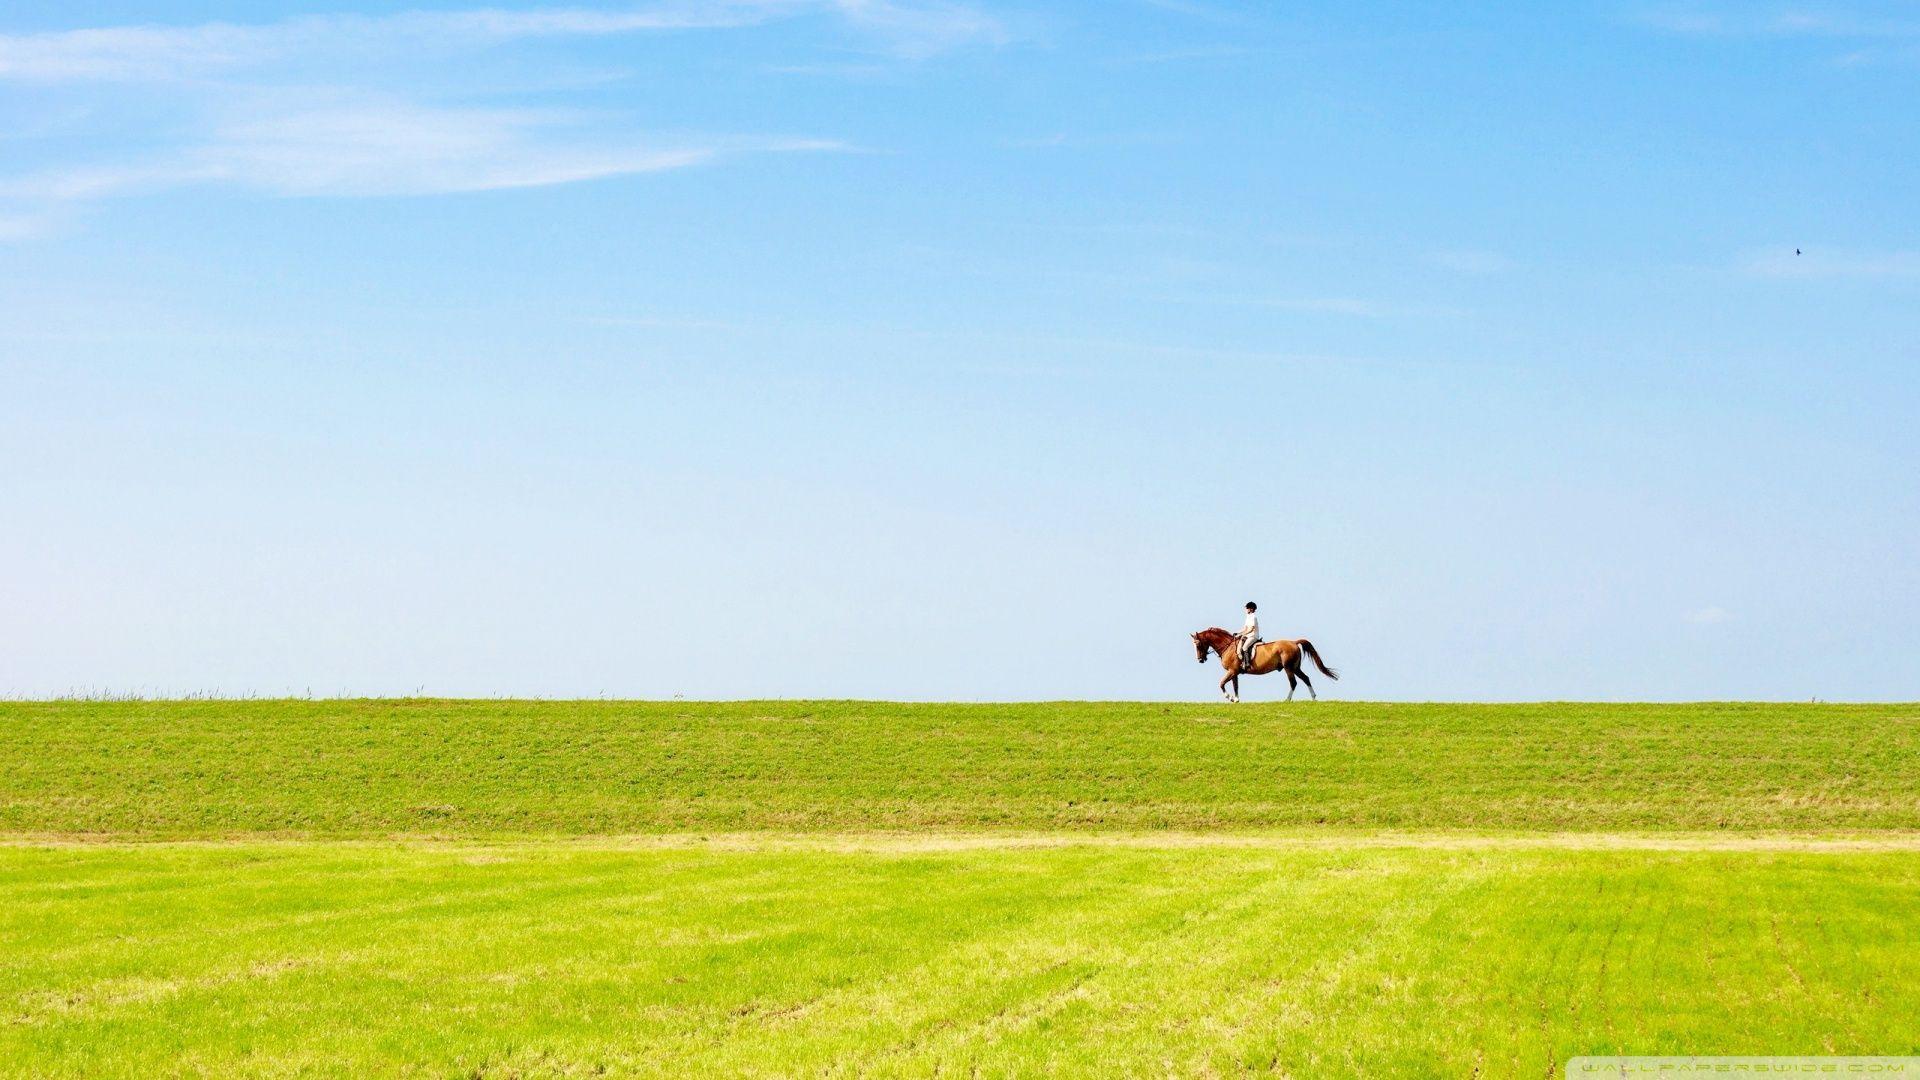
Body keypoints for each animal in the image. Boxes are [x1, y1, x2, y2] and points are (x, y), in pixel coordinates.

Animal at [1190, 627, 1339, 702]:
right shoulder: (1235, 672)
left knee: (1294, 683)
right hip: (1296, 667)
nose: (1200, 660)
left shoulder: (1231, 671)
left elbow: (1221, 684)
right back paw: (1313, 698)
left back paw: (1287, 700)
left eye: (1198, 644)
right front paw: (1236, 699)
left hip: (1288, 668)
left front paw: (1230, 698)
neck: (1228, 646)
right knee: (1306, 678)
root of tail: (1294, 642)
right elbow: (1235, 686)